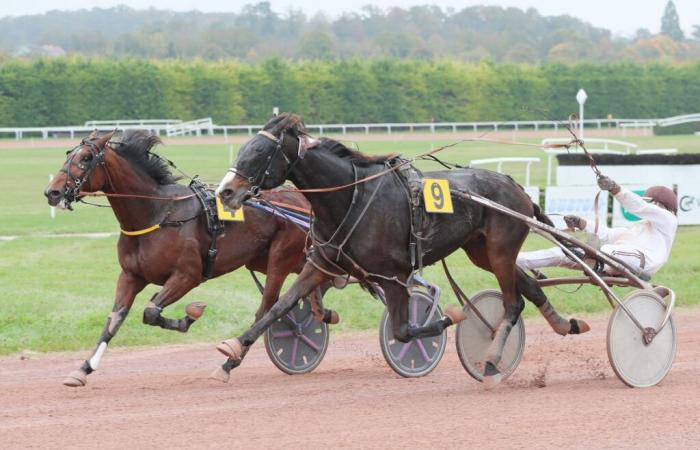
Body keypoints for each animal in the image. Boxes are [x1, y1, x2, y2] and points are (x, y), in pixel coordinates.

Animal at [45, 130, 330, 386]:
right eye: (69, 154)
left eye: (86, 158)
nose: (52, 193)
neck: (157, 213)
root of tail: (301, 201)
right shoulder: (130, 276)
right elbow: (114, 321)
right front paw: (83, 369)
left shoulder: (187, 275)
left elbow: (151, 311)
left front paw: (189, 316)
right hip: (260, 258)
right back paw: (321, 311)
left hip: (280, 259)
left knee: (268, 308)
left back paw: (230, 362)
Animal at [216, 114, 588, 388]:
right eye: (243, 149)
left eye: (259, 153)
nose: (225, 192)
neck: (351, 198)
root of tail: (517, 186)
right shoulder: (322, 264)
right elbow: (278, 307)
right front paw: (232, 354)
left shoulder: (393, 276)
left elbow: (404, 330)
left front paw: (449, 317)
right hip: (483, 252)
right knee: (530, 287)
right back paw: (565, 324)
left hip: (500, 249)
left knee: (513, 302)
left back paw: (493, 361)